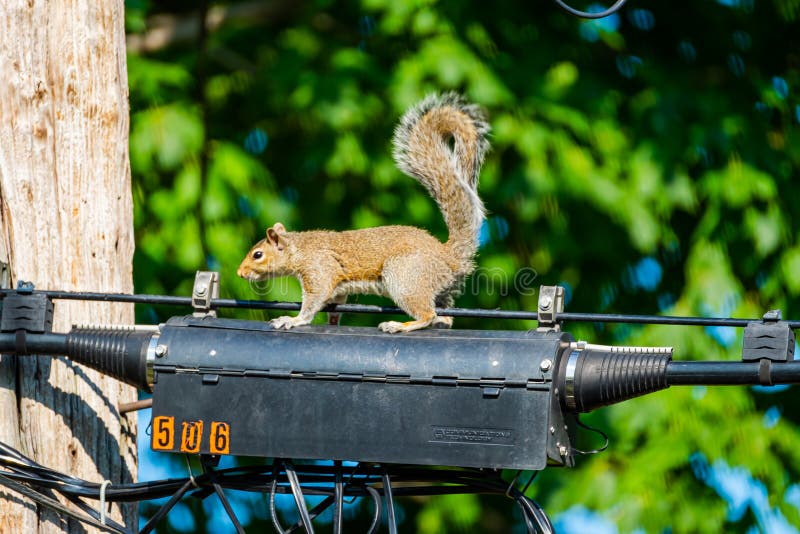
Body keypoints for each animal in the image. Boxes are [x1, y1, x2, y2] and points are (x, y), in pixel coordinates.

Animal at [234, 93, 490, 332]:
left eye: (257, 255)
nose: (240, 272)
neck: (299, 249)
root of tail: (448, 256)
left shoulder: (319, 269)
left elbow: (314, 300)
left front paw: (293, 320)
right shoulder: (336, 286)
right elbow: (335, 302)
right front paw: (332, 322)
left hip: (404, 277)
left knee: (426, 314)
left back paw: (399, 325)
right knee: (443, 315)